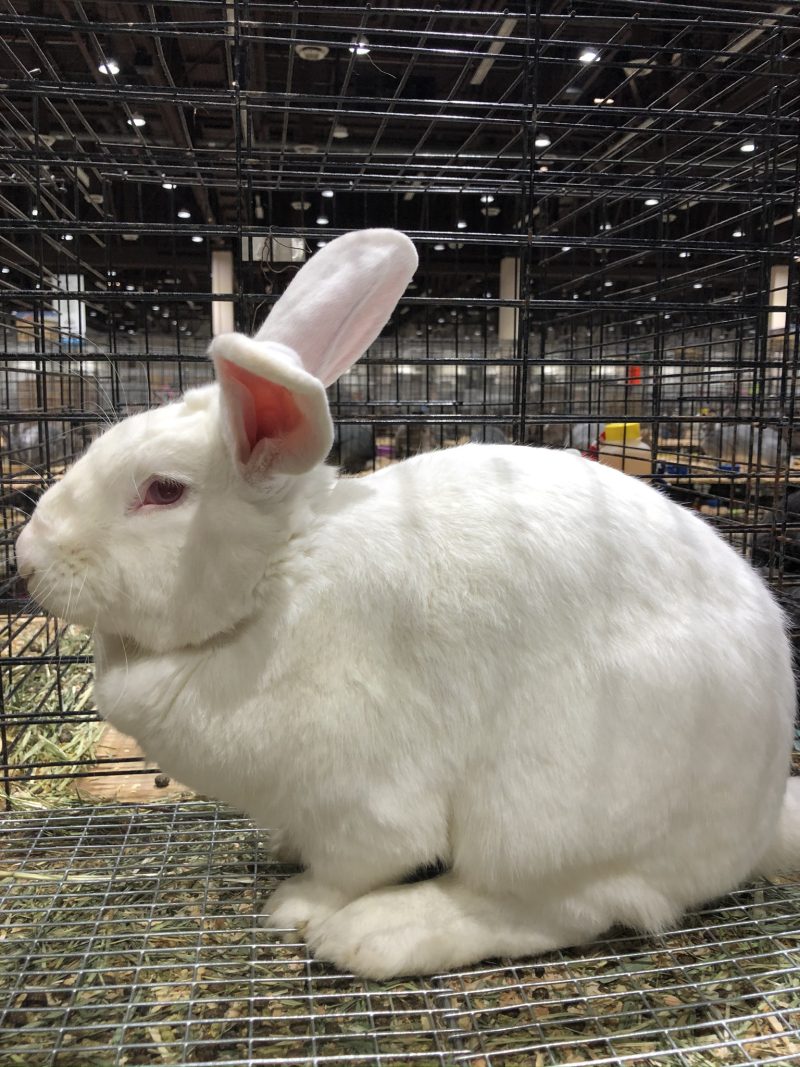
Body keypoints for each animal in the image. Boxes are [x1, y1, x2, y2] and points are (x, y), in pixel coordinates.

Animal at [14, 228, 800, 981]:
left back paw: (380, 933)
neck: (278, 578)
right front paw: (282, 850)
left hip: (546, 813)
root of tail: (756, 823)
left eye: (164, 491)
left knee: (558, 908)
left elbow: (355, 863)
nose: (26, 559)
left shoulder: (362, 797)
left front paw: (293, 905)